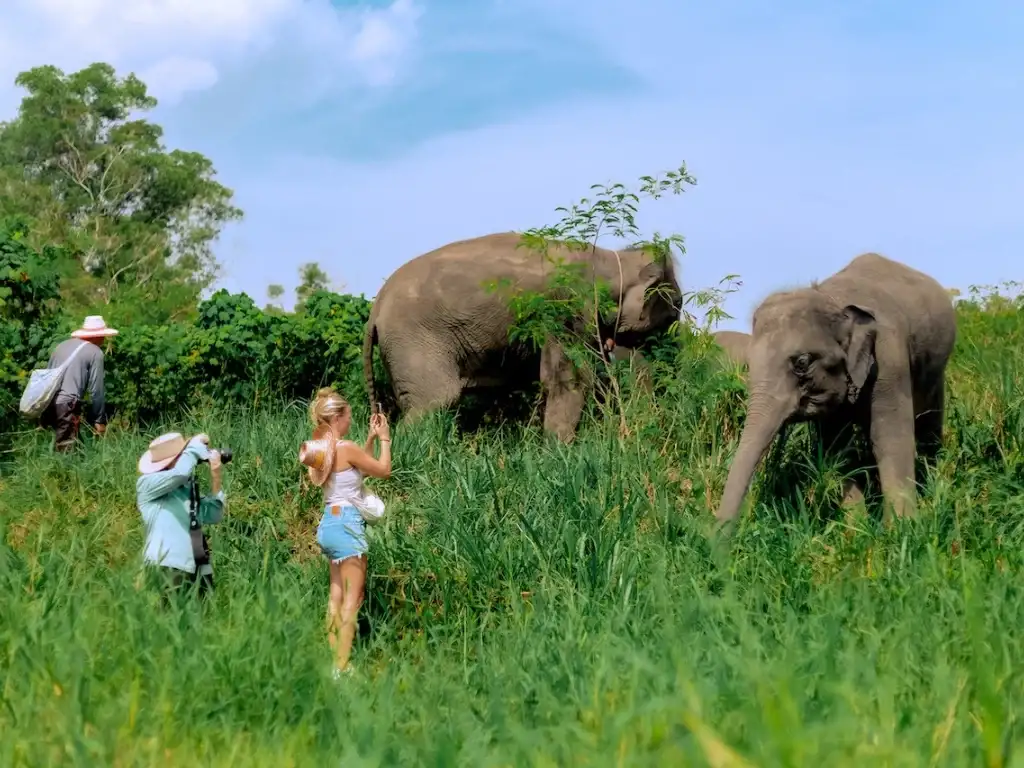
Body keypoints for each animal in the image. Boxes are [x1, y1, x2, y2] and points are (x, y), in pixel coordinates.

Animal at [363, 231, 683, 440]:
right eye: (671, 316)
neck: (611, 258)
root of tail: (376, 309)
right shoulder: (568, 307)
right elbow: (568, 378)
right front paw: (558, 453)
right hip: (414, 342)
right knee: (433, 401)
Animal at [714, 252, 957, 526]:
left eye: (802, 362)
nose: (714, 535)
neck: (832, 300)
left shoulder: (889, 359)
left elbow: (891, 439)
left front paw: (902, 528)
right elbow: (836, 448)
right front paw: (855, 528)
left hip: (935, 369)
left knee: (928, 426)